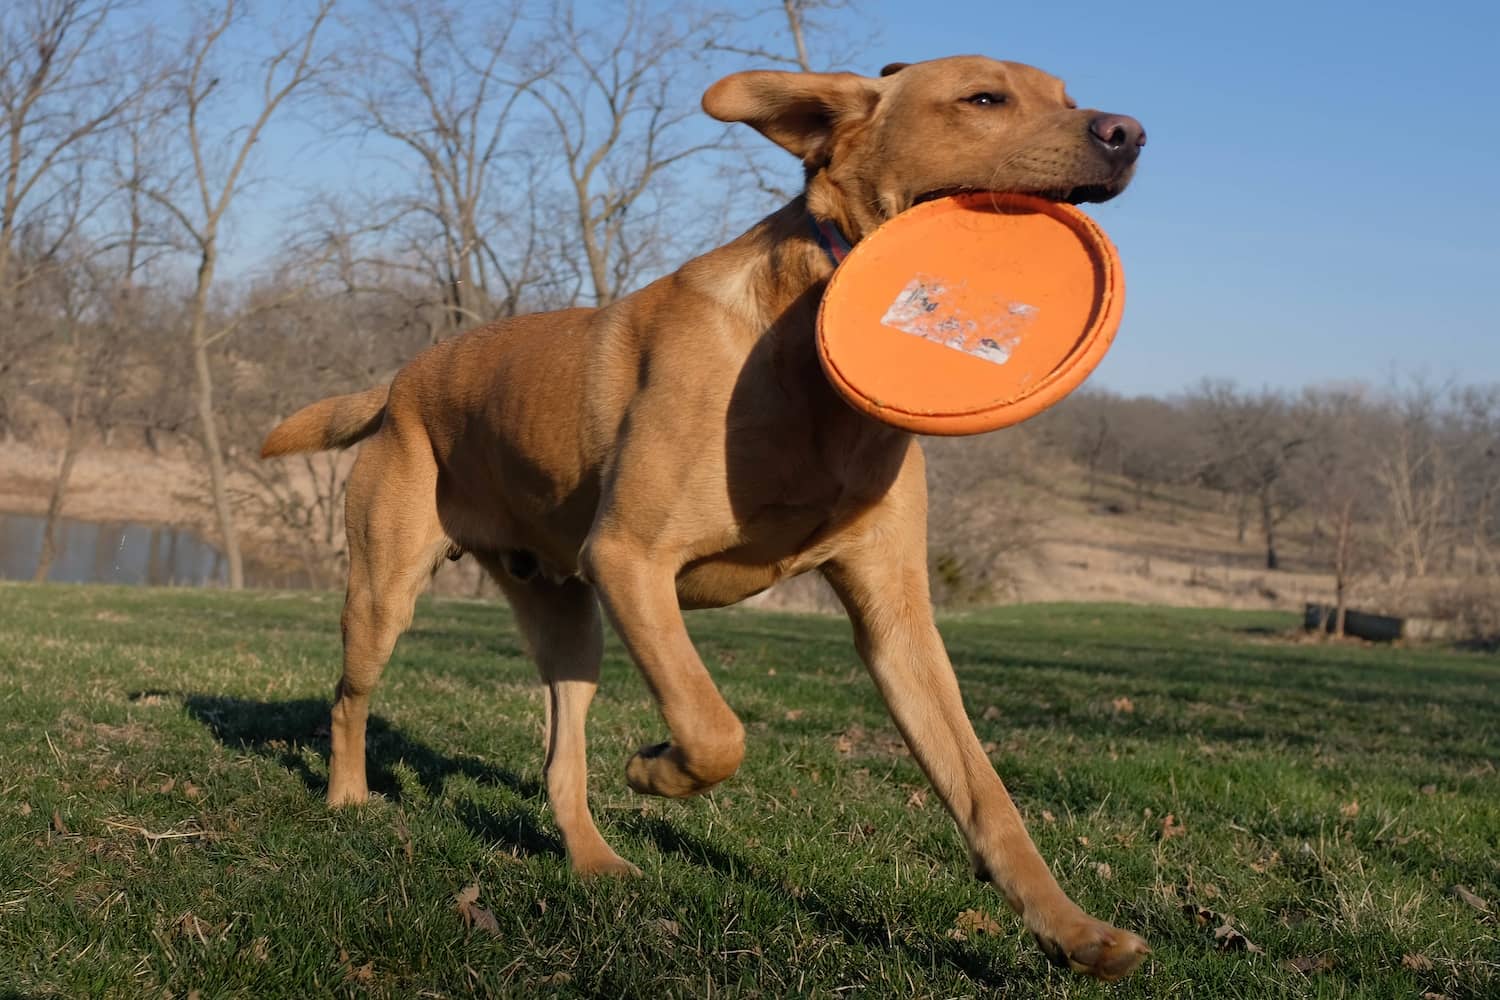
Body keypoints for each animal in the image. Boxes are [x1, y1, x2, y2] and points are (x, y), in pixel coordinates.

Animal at [261, 54, 1146, 977]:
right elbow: (716, 729)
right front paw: (655, 771)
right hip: (388, 594)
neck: (804, 355)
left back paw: (595, 860)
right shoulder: (630, 560)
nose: (1128, 134)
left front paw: (1073, 930)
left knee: (561, 763)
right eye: (984, 98)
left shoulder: (895, 620)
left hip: (569, 624)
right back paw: (348, 797)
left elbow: (984, 791)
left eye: (1067, 98)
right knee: (347, 698)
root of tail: (399, 381)